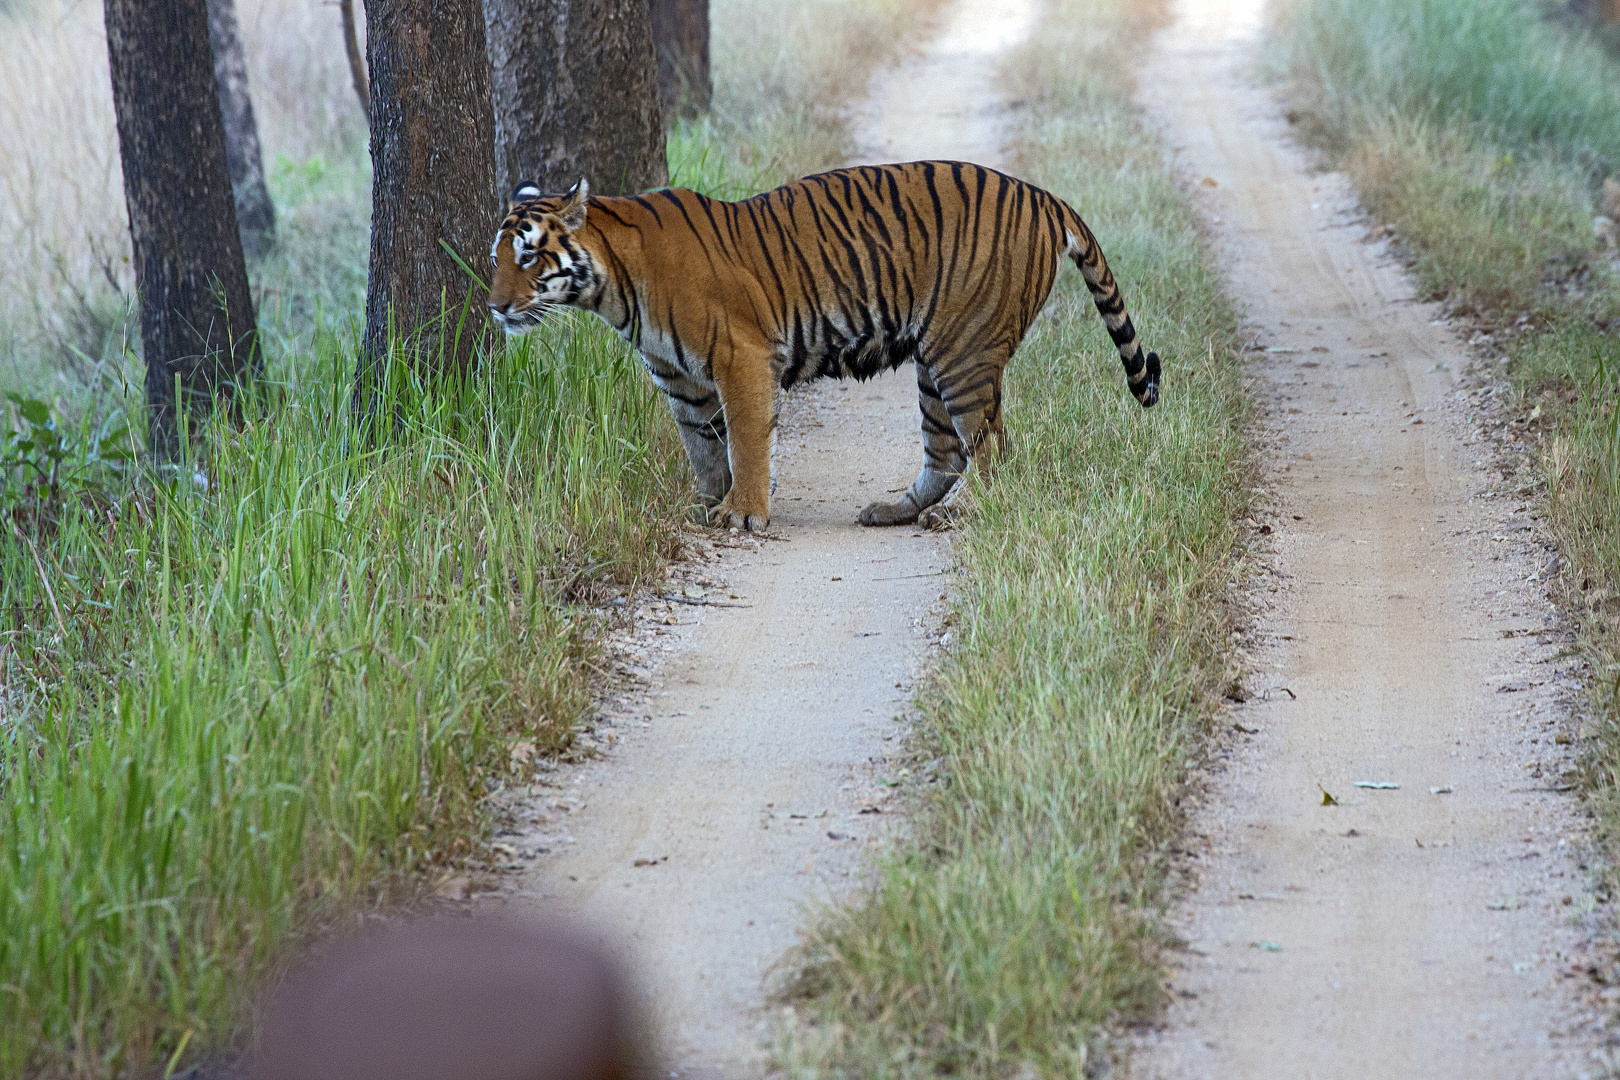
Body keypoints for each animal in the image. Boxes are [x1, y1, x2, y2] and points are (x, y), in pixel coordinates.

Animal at [486, 160, 1159, 531]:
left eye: (528, 256)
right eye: (495, 259)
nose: (495, 307)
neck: (614, 289)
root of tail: (1044, 194)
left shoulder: (741, 358)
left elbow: (747, 442)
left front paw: (742, 512)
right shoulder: (682, 383)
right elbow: (703, 450)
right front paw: (704, 506)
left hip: (964, 351)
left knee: (990, 447)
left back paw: (962, 515)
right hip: (936, 359)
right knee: (945, 452)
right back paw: (897, 511)